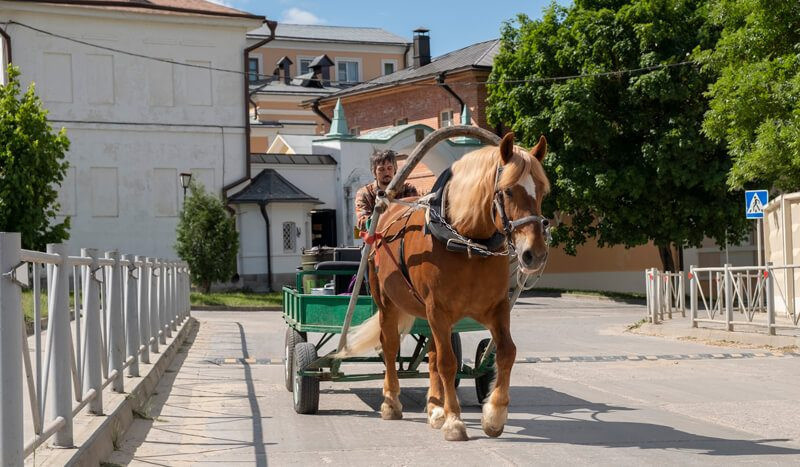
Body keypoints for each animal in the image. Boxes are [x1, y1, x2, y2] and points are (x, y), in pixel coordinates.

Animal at [338, 133, 552, 442]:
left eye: (543, 191)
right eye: (508, 191)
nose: (534, 254)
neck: (467, 241)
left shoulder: (496, 308)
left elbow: (506, 352)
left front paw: (494, 414)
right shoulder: (438, 309)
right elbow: (448, 363)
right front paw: (454, 420)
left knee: (431, 355)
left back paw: (435, 407)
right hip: (387, 303)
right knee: (390, 348)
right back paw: (392, 402)